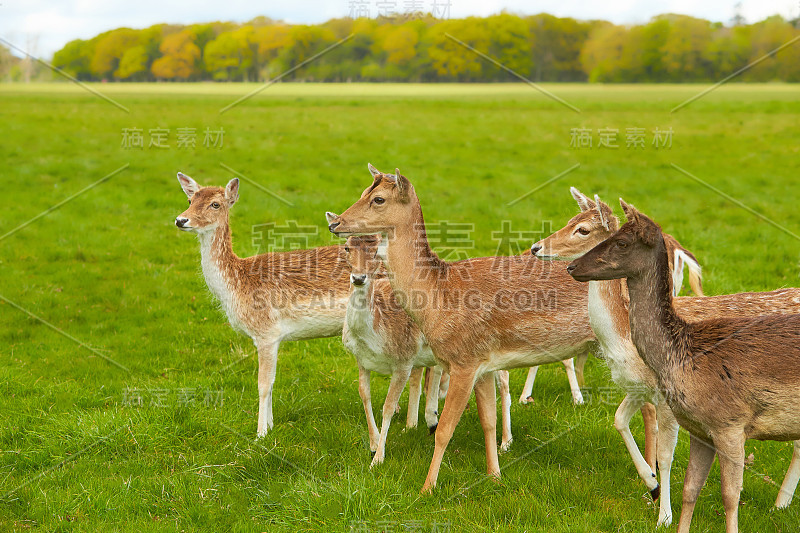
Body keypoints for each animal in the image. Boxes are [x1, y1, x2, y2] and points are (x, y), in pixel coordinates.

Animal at [173, 172, 352, 438]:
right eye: (190, 199)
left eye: (215, 204)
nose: (181, 220)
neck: (237, 286)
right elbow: (273, 382)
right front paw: (271, 425)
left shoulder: (266, 331)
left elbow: (263, 384)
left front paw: (260, 435)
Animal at [336, 235, 512, 464]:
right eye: (347, 247)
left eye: (375, 251)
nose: (358, 278)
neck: (372, 335)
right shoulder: (361, 360)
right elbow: (365, 395)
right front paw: (373, 444)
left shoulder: (404, 358)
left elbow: (388, 406)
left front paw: (378, 459)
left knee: (505, 379)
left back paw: (506, 442)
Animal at [532, 187, 800, 524]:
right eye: (570, 219)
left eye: (583, 229)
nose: (536, 247)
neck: (622, 339)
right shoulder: (638, 387)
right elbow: (619, 420)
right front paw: (651, 484)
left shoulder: (667, 398)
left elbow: (666, 451)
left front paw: (664, 514)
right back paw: (781, 504)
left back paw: (780, 503)